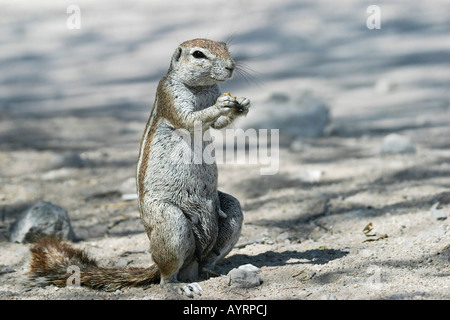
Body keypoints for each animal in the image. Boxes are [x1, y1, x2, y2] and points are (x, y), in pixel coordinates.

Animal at [29, 38, 250, 298]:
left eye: (225, 46)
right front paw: (222, 104)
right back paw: (180, 285)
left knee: (209, 255)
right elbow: (190, 119)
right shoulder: (170, 98)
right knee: (166, 276)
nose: (231, 67)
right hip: (170, 221)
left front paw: (242, 104)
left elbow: (219, 124)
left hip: (229, 210)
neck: (201, 88)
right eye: (198, 54)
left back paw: (215, 270)